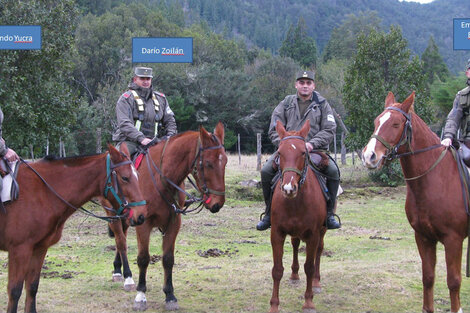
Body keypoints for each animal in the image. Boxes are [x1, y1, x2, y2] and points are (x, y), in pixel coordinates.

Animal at [0, 143, 147, 312]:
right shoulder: (19, 250)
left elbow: (32, 287)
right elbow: (15, 291)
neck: (42, 191)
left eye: (138, 175)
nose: (141, 215)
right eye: (125, 178)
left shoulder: (39, 248)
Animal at [104, 122, 226, 310]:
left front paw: (170, 295)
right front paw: (141, 295)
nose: (217, 203)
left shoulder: (174, 223)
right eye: (208, 163)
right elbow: (143, 258)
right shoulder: (143, 224)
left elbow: (168, 259)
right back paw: (127, 277)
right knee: (121, 242)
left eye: (225, 161)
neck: (160, 179)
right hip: (113, 215)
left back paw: (119, 270)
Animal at [266, 120, 328, 312]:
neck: (294, 202)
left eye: (303, 152)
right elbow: (277, 269)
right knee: (294, 244)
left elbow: (309, 266)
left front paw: (308, 302)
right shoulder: (277, 233)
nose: (288, 188)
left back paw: (317, 282)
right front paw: (274, 305)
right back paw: (294, 275)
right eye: (280, 152)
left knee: (319, 251)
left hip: (322, 230)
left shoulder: (313, 234)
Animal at [362, 91, 468, 312]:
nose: (369, 156)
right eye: (377, 122)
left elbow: (453, 281)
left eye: (395, 124)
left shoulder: (453, 240)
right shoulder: (423, 237)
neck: (435, 178)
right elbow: (428, 278)